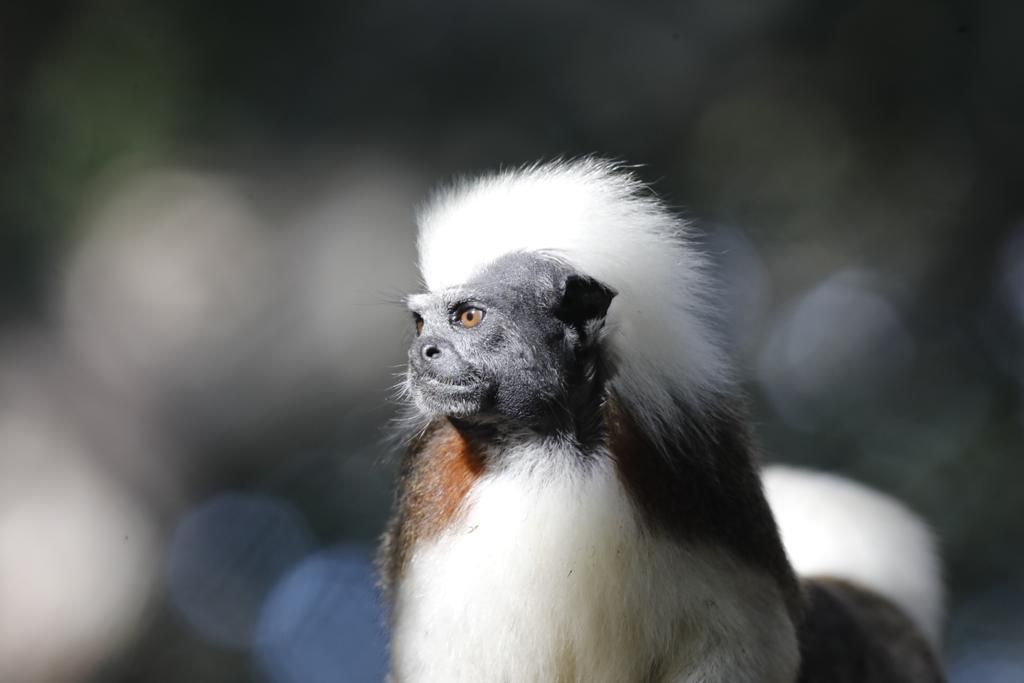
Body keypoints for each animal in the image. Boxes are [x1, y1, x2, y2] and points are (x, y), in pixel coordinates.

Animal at [378, 158, 945, 682]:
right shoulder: (435, 492)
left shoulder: (692, 479)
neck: (548, 446)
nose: (420, 353)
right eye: (420, 324)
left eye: (469, 317)